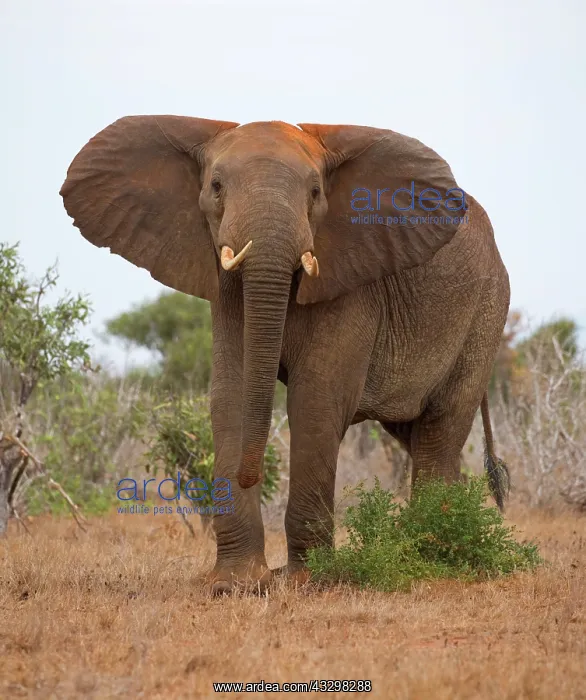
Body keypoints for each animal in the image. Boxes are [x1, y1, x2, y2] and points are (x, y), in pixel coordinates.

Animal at [60, 116, 510, 595]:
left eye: (315, 192)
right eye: (216, 186)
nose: (251, 474)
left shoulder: (351, 283)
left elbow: (314, 401)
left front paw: (306, 580)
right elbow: (232, 396)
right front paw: (234, 584)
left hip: (485, 312)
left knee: (439, 431)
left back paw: (435, 554)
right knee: (417, 435)